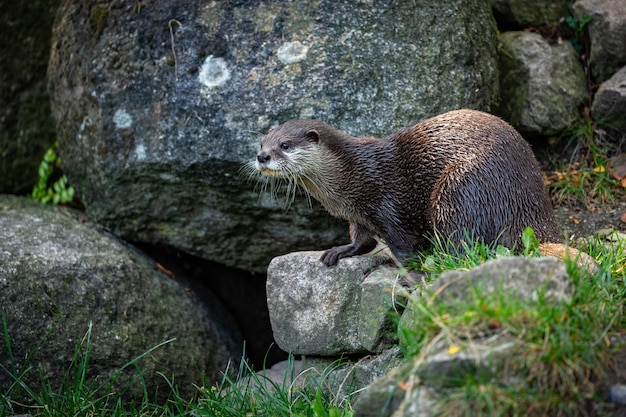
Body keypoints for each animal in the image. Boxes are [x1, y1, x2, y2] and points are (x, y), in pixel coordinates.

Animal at [251, 109, 588, 268]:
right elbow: (363, 242)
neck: (351, 176)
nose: (262, 156)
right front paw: (340, 250)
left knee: (464, 249)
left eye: (285, 145)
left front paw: (407, 269)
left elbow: (403, 244)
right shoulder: (359, 215)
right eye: (261, 142)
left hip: (462, 186)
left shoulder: (385, 202)